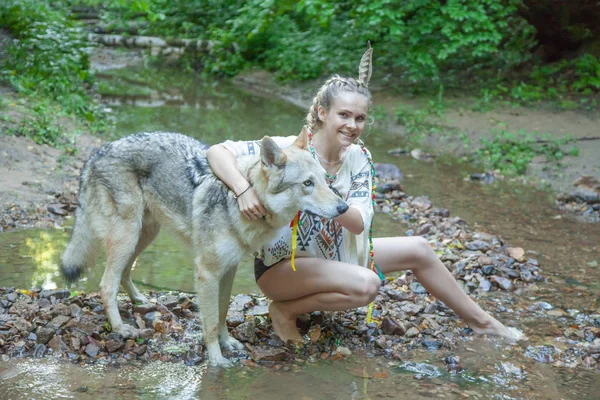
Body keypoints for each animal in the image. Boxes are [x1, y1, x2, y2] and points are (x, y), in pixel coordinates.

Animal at [60, 130, 346, 368]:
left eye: (324, 180)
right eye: (307, 183)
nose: (343, 207)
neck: (243, 197)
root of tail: (97, 153)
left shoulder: (229, 270)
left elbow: (221, 312)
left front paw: (227, 342)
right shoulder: (207, 273)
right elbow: (208, 323)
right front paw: (216, 360)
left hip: (144, 235)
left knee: (125, 272)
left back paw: (140, 300)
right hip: (128, 236)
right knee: (106, 284)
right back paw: (120, 328)